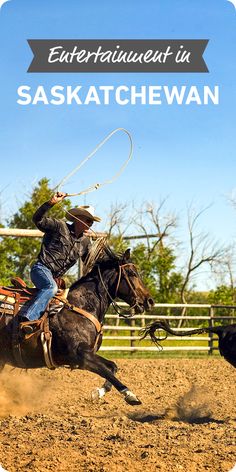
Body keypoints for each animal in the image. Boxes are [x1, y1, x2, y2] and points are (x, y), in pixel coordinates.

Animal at [0, 247, 154, 406]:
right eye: (131, 273)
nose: (149, 301)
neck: (81, 306)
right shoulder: (81, 356)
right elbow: (106, 371)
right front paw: (130, 395)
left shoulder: (87, 354)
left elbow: (112, 366)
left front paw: (97, 393)